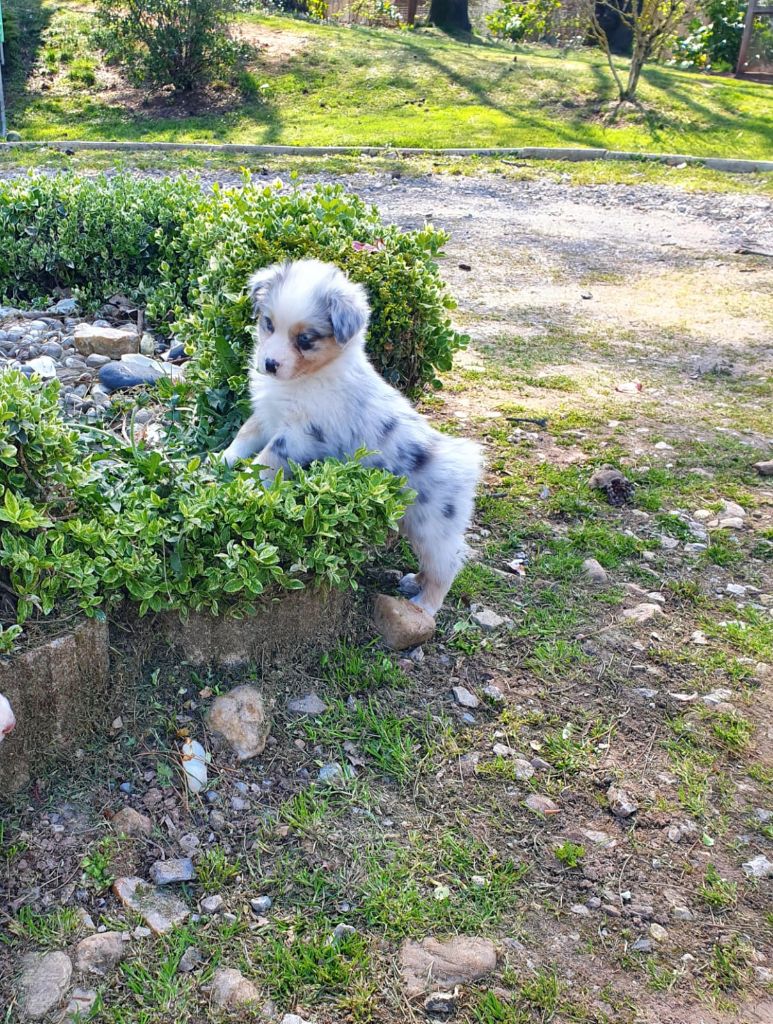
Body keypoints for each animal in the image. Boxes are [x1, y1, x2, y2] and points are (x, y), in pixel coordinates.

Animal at [222, 259, 482, 616]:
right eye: (268, 323)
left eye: (305, 339)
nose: (269, 364)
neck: (307, 378)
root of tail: (465, 460)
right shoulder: (266, 415)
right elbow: (244, 434)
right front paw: (220, 459)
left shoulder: (299, 435)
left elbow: (267, 458)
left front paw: (242, 484)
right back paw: (413, 581)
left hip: (433, 527)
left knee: (446, 566)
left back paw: (425, 605)